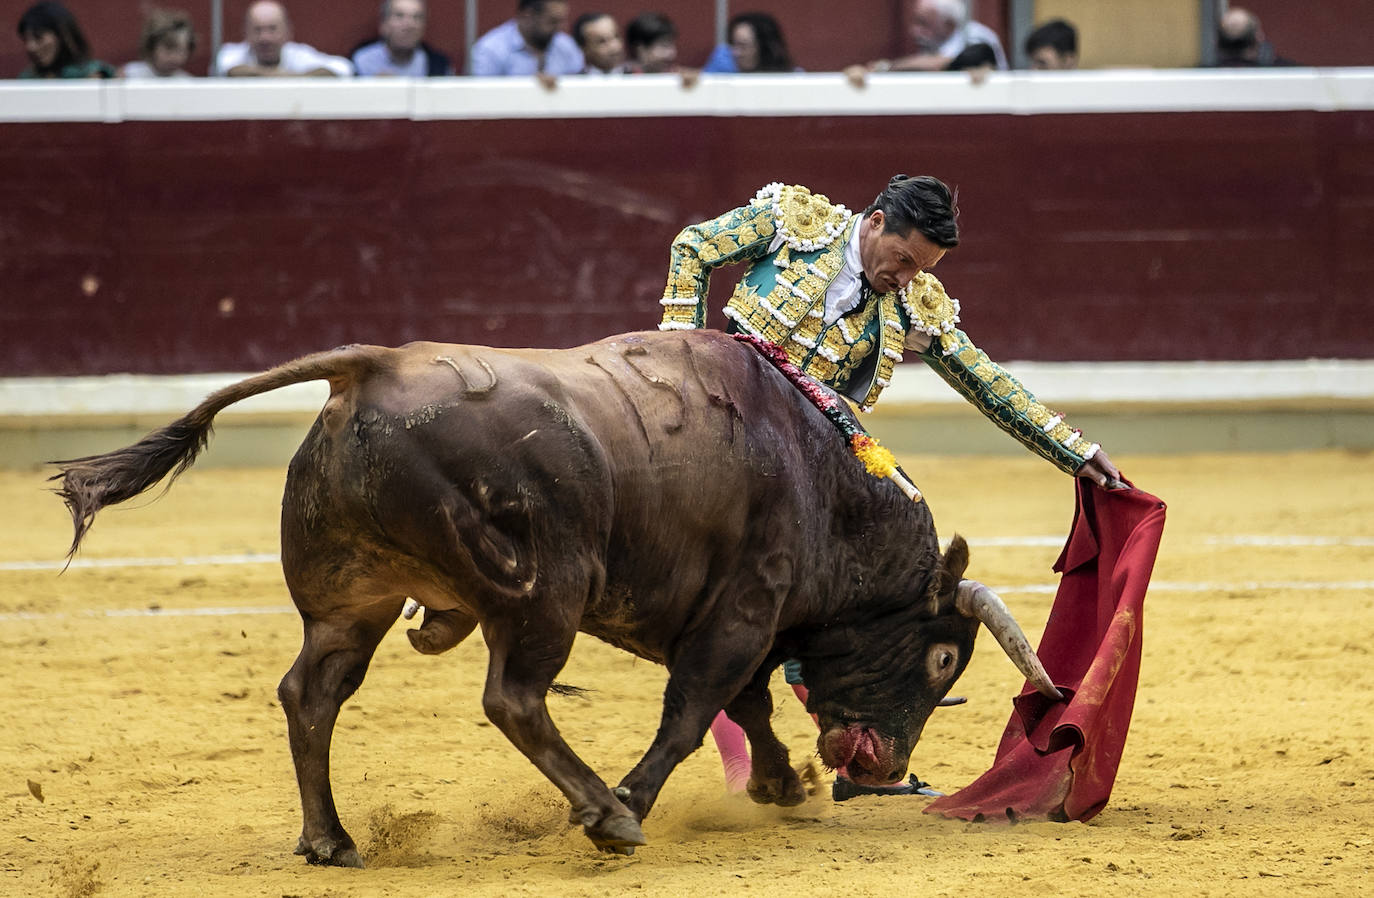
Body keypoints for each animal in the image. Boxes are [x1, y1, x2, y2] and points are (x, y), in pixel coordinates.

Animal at [53, 330, 1055, 867]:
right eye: (940, 655)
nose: (885, 768)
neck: (825, 480)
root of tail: (372, 368)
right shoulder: (743, 605)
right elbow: (698, 708)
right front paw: (637, 798)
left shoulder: (725, 616)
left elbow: (748, 704)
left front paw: (778, 784)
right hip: (545, 592)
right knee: (513, 697)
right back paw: (606, 814)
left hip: (352, 601)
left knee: (311, 694)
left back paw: (331, 840)